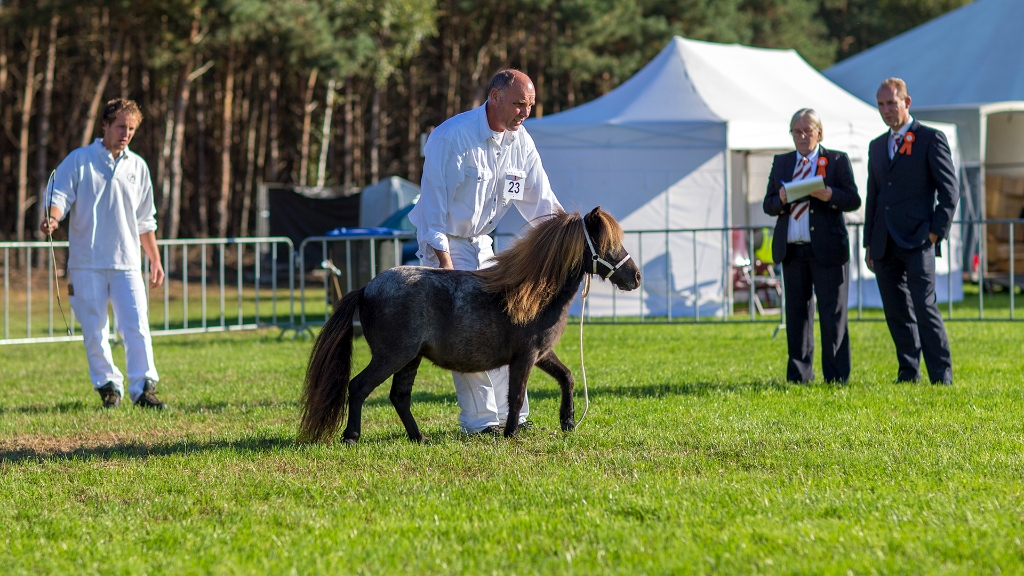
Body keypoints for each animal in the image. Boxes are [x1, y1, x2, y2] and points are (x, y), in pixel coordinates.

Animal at [296, 207, 638, 444]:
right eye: (607, 244)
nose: (635, 276)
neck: (533, 293)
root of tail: (366, 288)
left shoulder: (540, 354)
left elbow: (566, 377)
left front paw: (567, 421)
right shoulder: (525, 357)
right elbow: (516, 395)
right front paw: (511, 434)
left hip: (410, 359)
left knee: (399, 397)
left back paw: (419, 438)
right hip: (392, 356)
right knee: (359, 387)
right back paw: (351, 436)